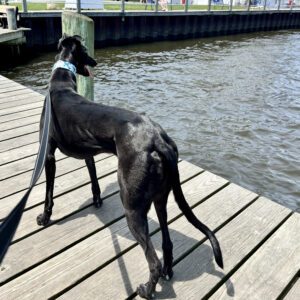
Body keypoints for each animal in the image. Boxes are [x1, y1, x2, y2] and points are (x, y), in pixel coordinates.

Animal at [37, 34, 223, 298]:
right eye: (86, 51)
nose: (95, 61)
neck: (60, 84)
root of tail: (157, 139)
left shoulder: (48, 154)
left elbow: (48, 192)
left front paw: (45, 217)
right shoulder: (88, 154)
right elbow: (93, 177)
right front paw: (97, 200)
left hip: (132, 207)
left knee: (153, 259)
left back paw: (147, 289)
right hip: (160, 198)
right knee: (167, 242)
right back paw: (168, 271)